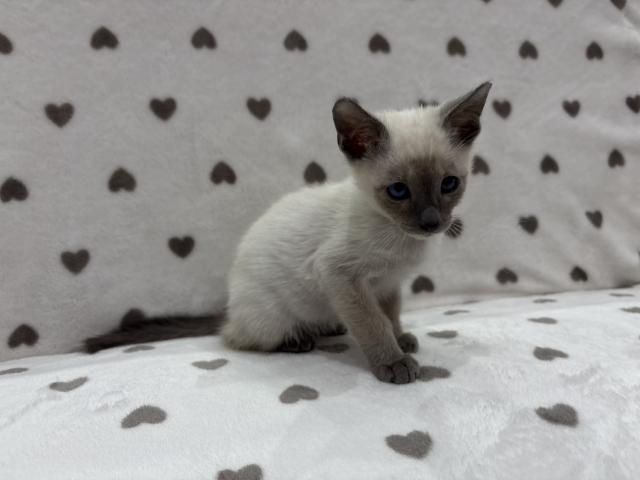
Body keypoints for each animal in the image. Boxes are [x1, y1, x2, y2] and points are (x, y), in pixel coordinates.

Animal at [85, 82, 492, 384]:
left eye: (449, 184)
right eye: (398, 191)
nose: (431, 222)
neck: (400, 238)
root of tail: (230, 306)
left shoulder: (387, 283)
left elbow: (389, 315)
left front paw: (401, 339)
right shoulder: (338, 274)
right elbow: (371, 321)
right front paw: (393, 361)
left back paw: (329, 327)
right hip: (268, 314)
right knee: (235, 337)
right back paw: (296, 340)